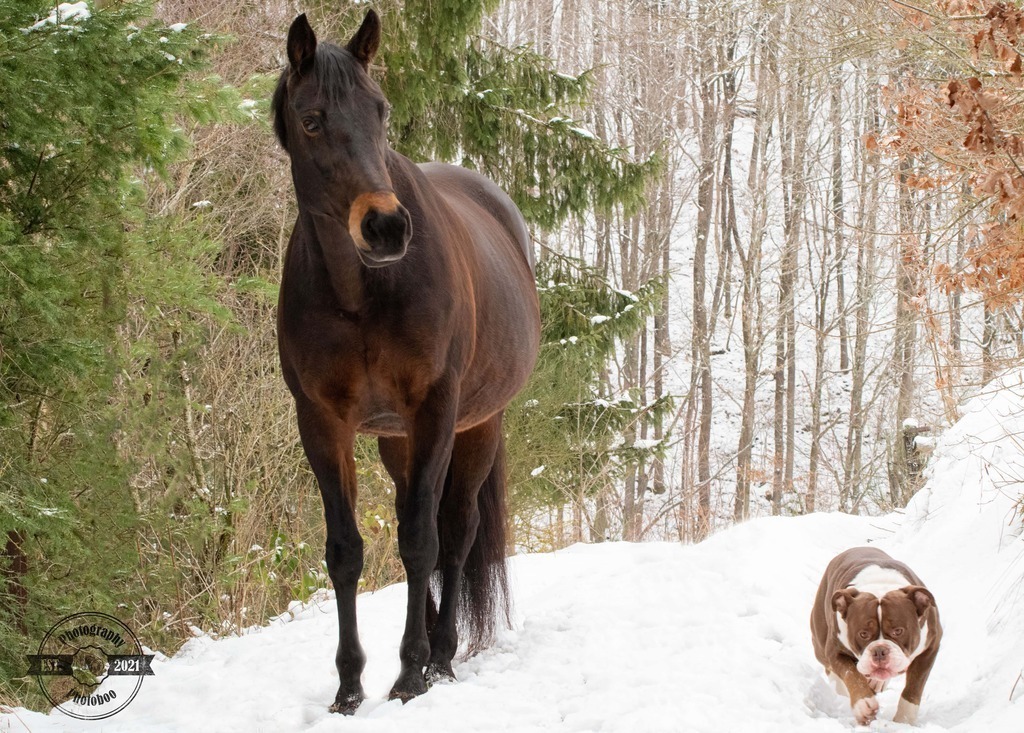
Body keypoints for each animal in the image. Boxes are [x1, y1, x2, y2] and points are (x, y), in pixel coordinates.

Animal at [272, 9, 540, 713]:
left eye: (381, 110)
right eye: (313, 120)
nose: (387, 228)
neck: (361, 292)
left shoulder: (435, 411)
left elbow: (423, 542)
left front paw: (411, 674)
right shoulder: (322, 423)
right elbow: (346, 550)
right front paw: (348, 686)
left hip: (475, 427)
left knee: (458, 528)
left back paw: (442, 654)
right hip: (398, 441)